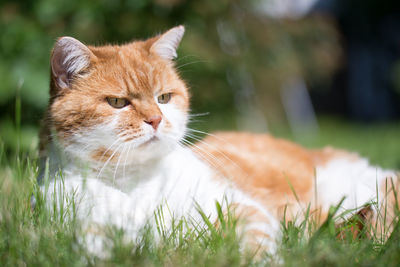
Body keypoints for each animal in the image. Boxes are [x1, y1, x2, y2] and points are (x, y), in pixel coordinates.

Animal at [39, 26, 398, 256]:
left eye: (164, 98)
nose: (156, 119)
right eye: (117, 102)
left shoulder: (236, 206)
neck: (135, 181)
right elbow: (95, 240)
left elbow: (256, 237)